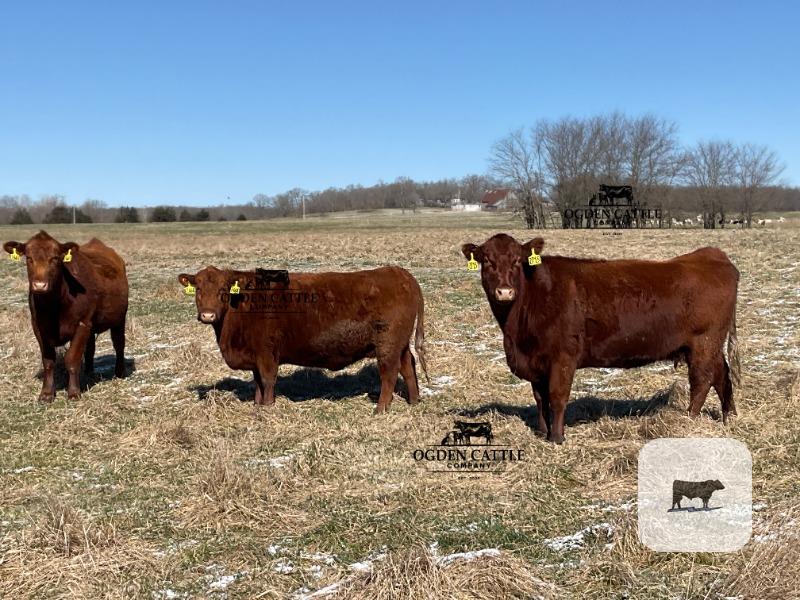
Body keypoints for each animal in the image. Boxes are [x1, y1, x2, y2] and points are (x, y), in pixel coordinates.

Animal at [3, 231, 129, 402]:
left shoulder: (82, 324)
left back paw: (120, 372)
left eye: (55, 258)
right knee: (90, 349)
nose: (40, 285)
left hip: (119, 318)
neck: (53, 308)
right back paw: (88, 373)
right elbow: (48, 361)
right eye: (29, 258)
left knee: (119, 344)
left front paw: (74, 392)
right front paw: (46, 394)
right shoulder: (38, 327)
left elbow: (72, 359)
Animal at [177, 266, 428, 413]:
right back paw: (414, 400)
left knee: (389, 373)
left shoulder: (266, 353)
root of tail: (400, 273)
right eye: (198, 289)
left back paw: (381, 408)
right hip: (400, 344)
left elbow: (268, 380)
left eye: (223, 289)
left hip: (387, 344)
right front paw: (258, 406)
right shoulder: (255, 356)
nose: (207, 315)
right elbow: (257, 382)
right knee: (408, 365)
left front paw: (267, 408)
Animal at [461, 234, 740, 443]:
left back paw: (688, 420)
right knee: (722, 375)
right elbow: (540, 399)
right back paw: (730, 417)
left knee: (702, 381)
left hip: (704, 343)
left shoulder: (563, 357)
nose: (505, 291)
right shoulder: (535, 361)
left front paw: (557, 438)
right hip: (710, 346)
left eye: (517, 261)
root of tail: (711, 255)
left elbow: (557, 397)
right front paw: (542, 432)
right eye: (487, 261)